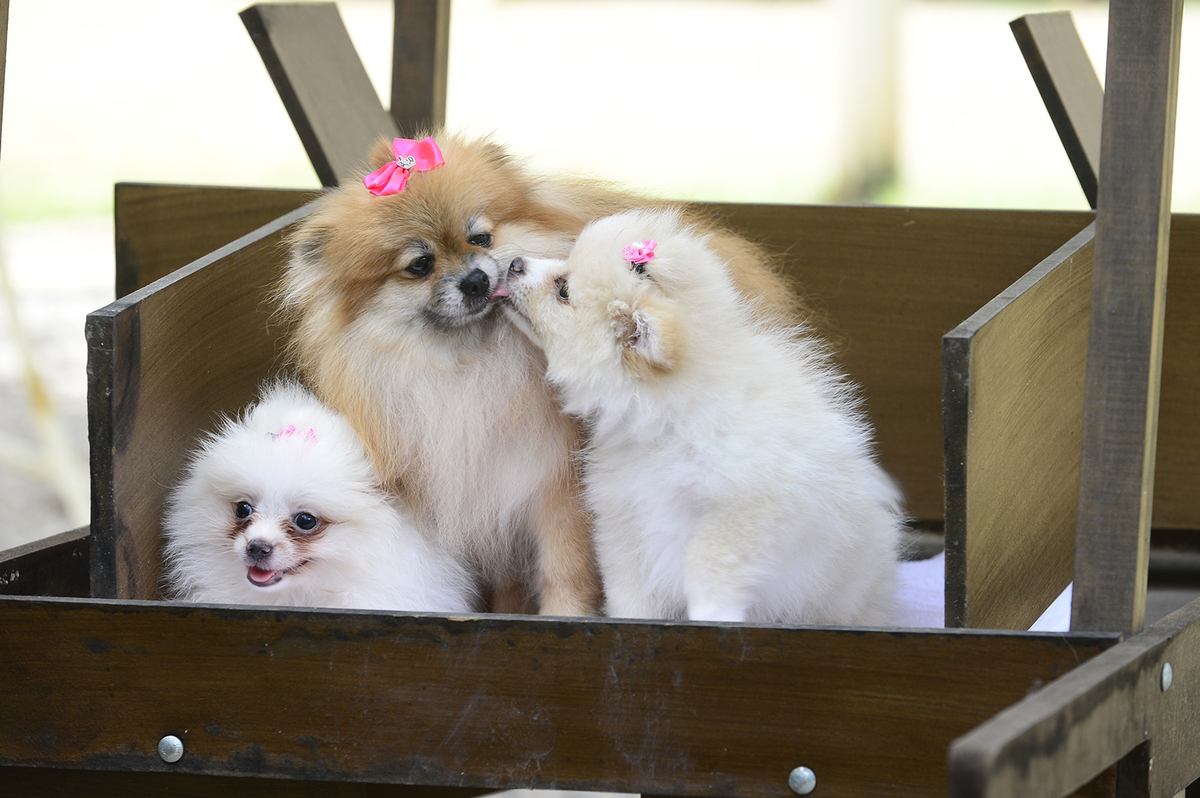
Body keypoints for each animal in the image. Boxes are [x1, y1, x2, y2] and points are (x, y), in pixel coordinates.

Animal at [278, 131, 798, 615]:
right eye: (420, 264)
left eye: (481, 238)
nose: (476, 280)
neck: (473, 366)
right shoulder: (483, 487)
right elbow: (508, 581)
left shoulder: (556, 484)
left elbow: (563, 567)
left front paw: (563, 616)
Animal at [503, 208, 903, 625]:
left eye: (563, 289)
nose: (514, 263)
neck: (667, 416)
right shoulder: (624, 515)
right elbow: (629, 586)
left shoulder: (747, 508)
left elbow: (707, 564)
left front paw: (713, 616)